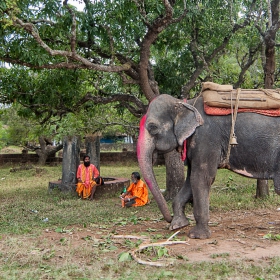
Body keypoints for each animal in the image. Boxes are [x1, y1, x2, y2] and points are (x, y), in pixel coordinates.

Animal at [137, 93, 280, 238]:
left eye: (153, 127)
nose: (169, 219)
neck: (186, 103)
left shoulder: (206, 138)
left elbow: (201, 178)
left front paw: (197, 235)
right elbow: (191, 180)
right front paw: (178, 225)